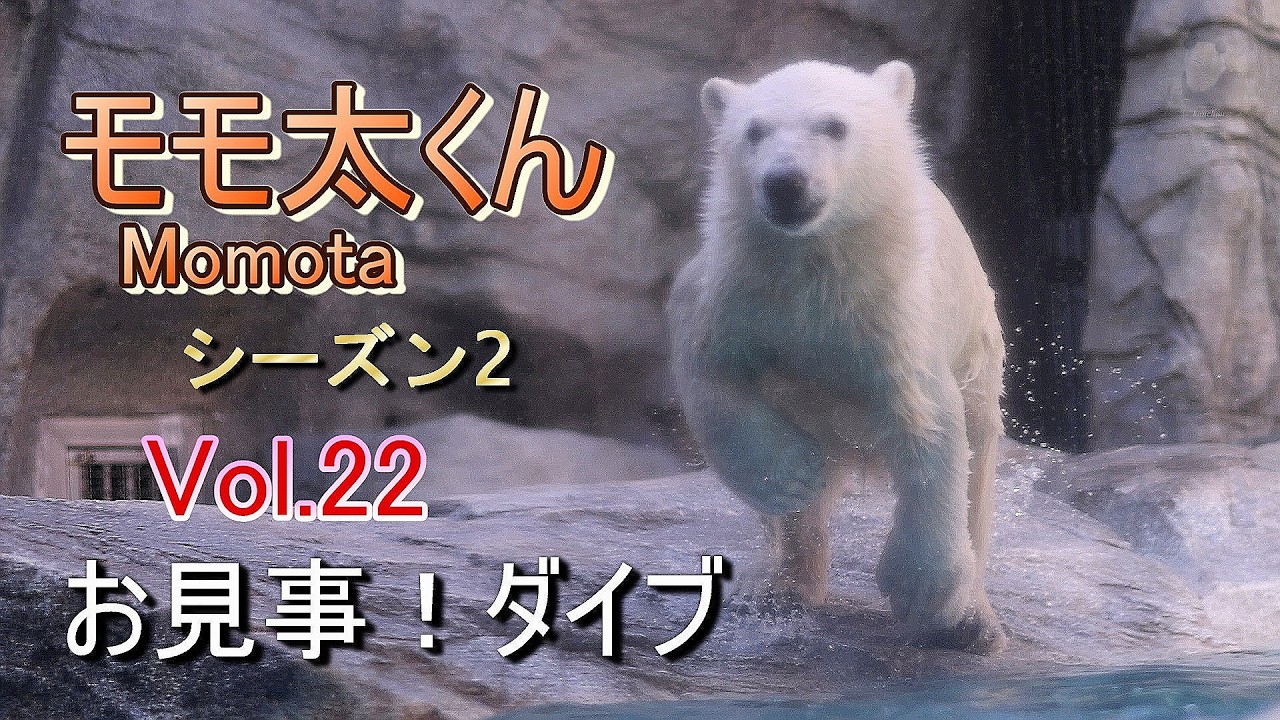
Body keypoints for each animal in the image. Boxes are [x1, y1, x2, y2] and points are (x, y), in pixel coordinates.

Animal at [667, 60, 1007, 654]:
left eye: (835, 126)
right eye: (754, 131)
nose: (784, 182)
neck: (817, 259)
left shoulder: (896, 324)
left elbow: (932, 433)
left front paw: (927, 597)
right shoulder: (738, 292)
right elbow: (713, 377)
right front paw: (792, 473)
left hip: (980, 360)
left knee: (977, 478)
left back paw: (975, 623)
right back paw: (782, 586)